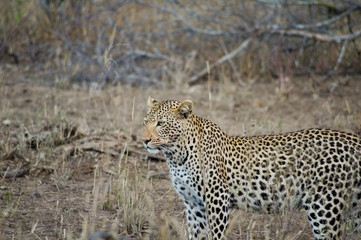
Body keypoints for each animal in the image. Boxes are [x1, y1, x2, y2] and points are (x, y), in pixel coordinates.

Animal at [141, 96, 360, 239]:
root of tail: (353, 138)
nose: (144, 140)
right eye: (145, 122)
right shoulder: (194, 204)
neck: (176, 155)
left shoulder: (217, 202)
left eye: (160, 123)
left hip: (323, 207)